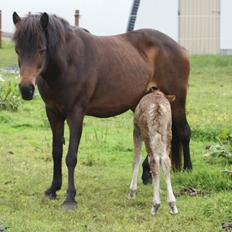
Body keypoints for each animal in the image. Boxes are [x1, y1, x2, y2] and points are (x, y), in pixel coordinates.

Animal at [11, 12, 191, 208]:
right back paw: (147, 173)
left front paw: (70, 198)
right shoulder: (53, 113)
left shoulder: (76, 114)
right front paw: (52, 189)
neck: (68, 62)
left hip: (176, 102)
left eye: (42, 49)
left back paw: (188, 170)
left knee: (183, 132)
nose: (26, 89)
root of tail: (179, 47)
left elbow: (71, 156)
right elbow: (56, 152)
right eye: (18, 50)